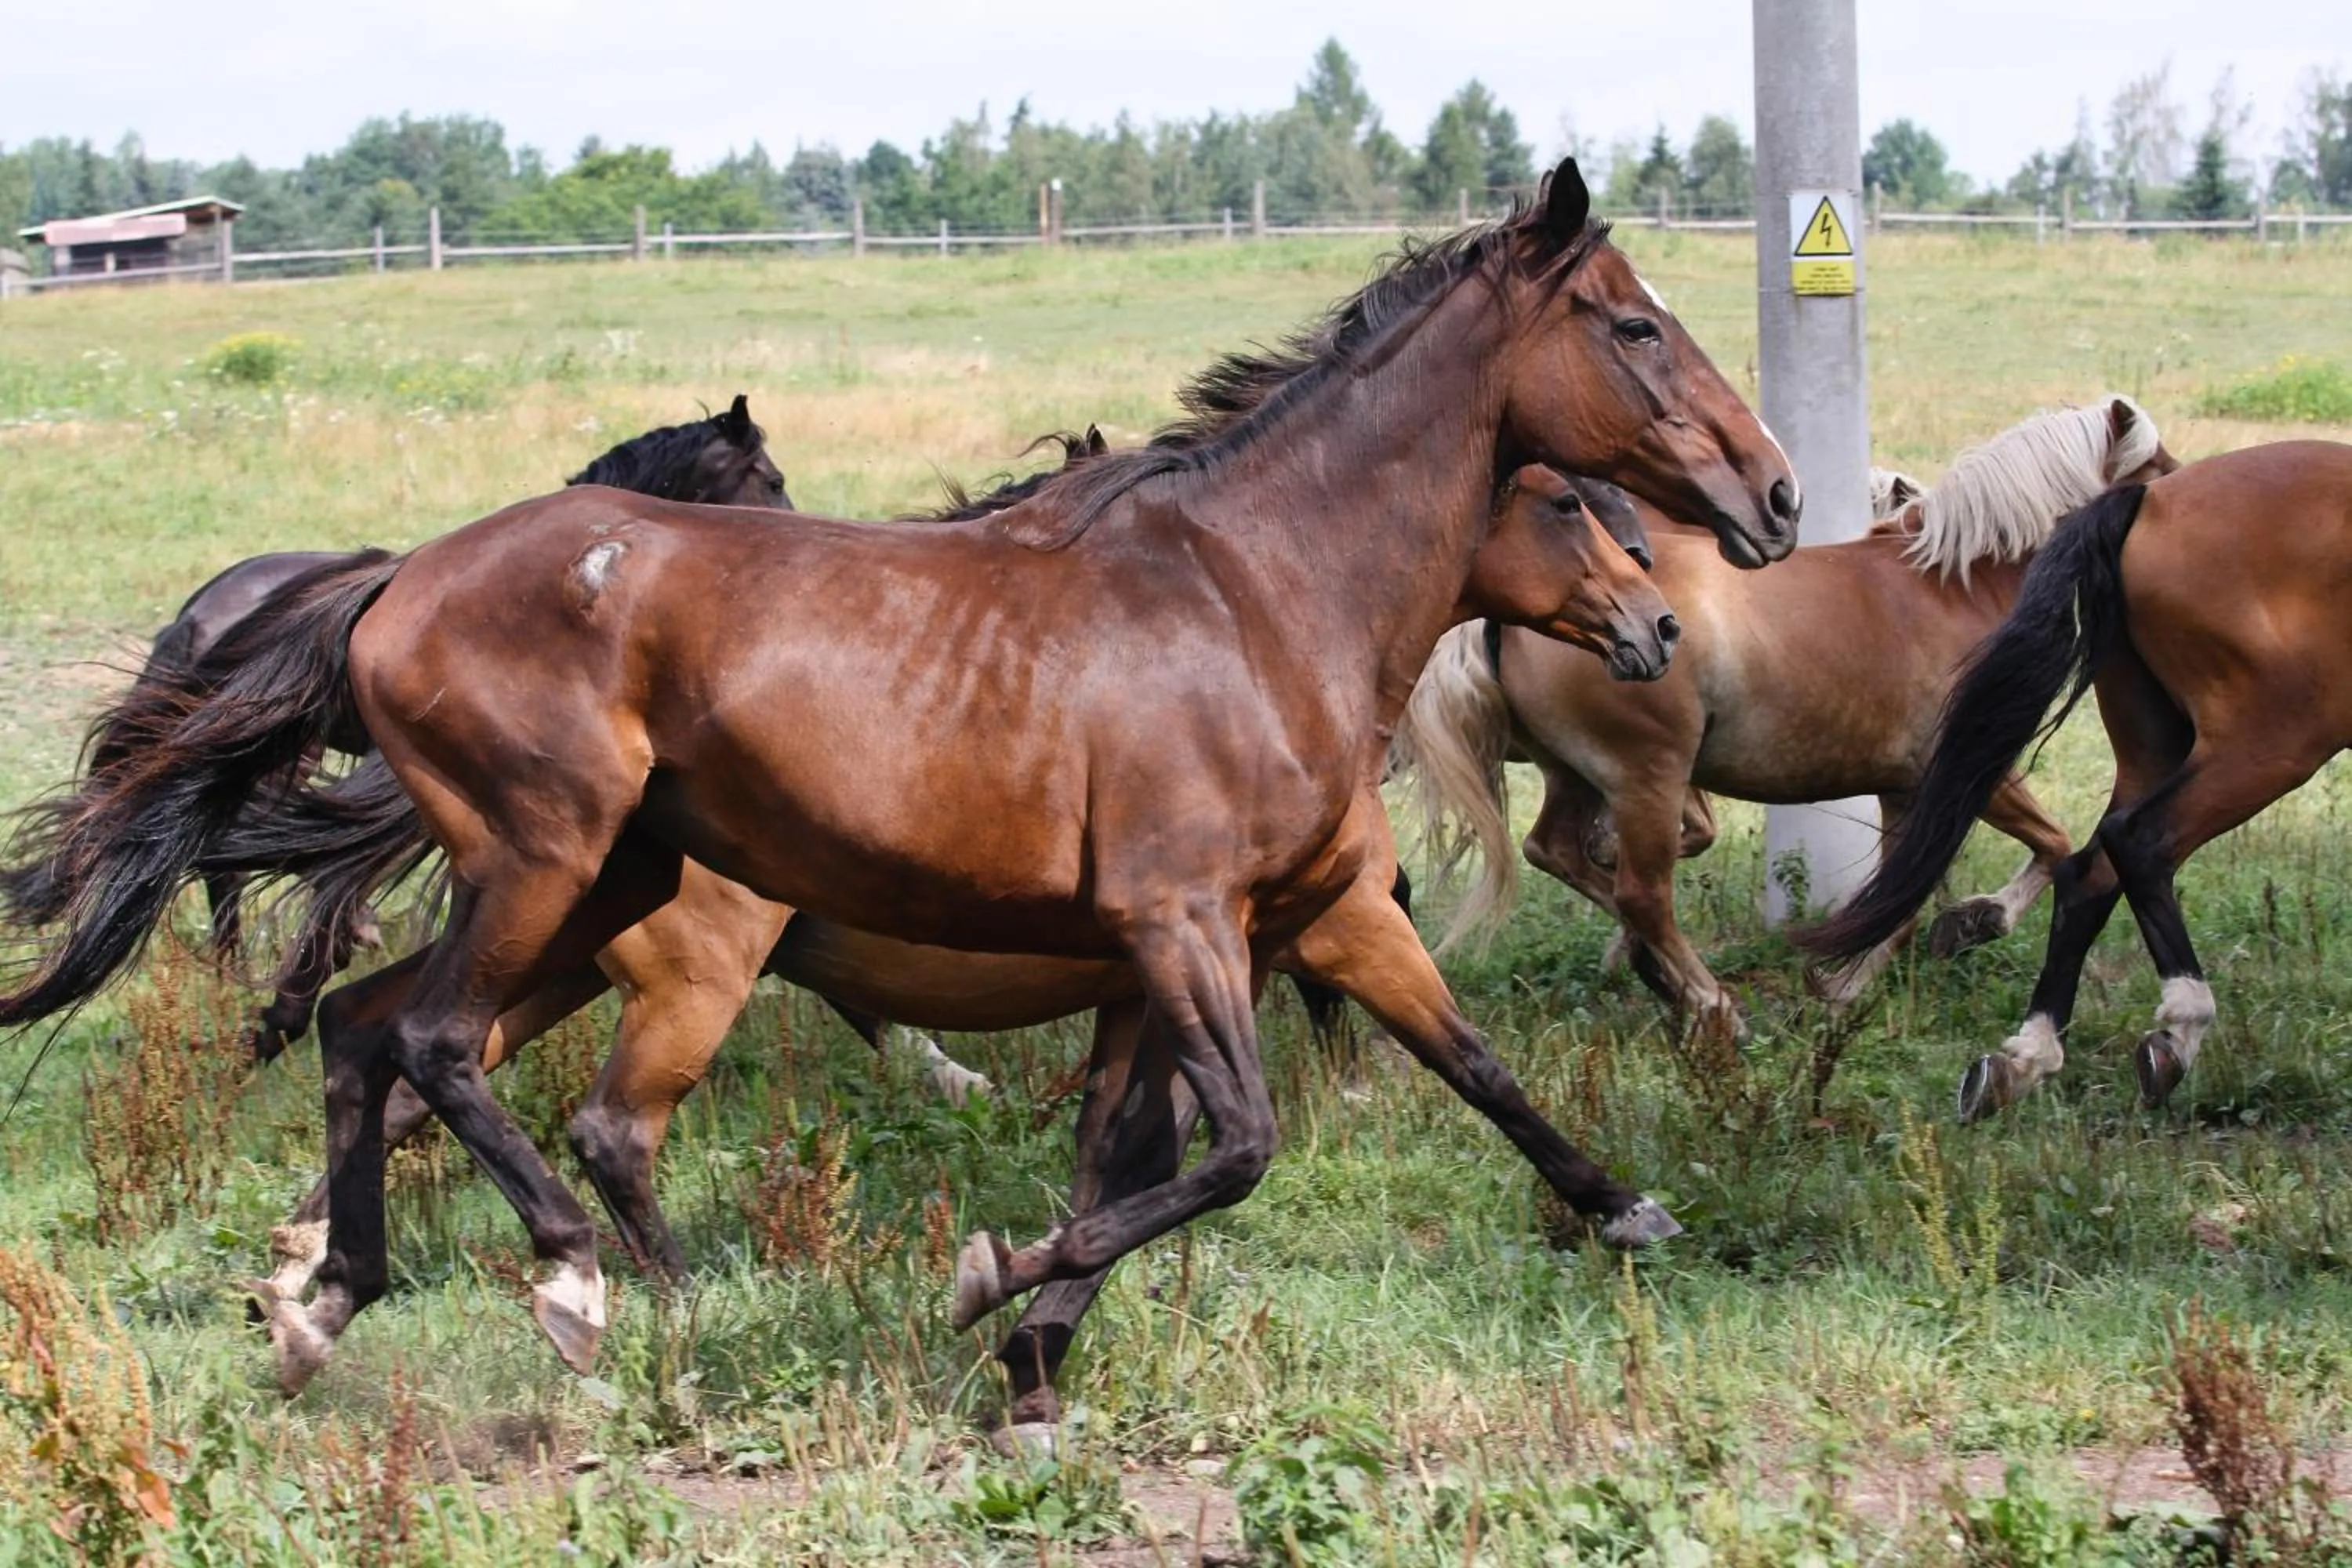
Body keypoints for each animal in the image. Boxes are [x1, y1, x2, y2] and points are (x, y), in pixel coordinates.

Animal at [0, 157, 1799, 1393]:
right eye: (1633, 328)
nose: (1772, 504)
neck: (1250, 588)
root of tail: (393, 582)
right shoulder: (1193, 922)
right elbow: (1234, 1147)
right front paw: (988, 1286)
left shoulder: (1181, 948)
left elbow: (1203, 1137)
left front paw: (1036, 1354)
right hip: (555, 864)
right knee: (467, 1060)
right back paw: (591, 1289)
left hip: (594, 890)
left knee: (367, 1030)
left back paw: (327, 1302)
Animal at [1395, 396, 2176, 1034]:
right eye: (2160, 470)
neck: (1952, 587)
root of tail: (1520, 615)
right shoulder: (1973, 768)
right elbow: (2051, 844)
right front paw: (1978, 921)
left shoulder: (1905, 789)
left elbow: (1897, 902)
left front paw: (1842, 987)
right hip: (1647, 774)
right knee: (1641, 893)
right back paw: (1709, 1002)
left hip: (1578, 774)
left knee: (1559, 851)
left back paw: (1662, 972)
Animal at [1804, 439, 2352, 1122]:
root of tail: (2148, 501)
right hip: (2271, 743)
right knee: (2138, 841)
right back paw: (2179, 1028)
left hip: (2157, 747)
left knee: (2091, 871)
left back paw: (2024, 1060)